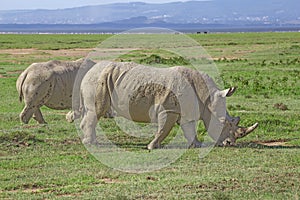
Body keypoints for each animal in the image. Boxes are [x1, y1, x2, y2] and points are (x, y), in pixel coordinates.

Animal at [77, 60, 258, 148]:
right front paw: (152, 147)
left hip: (102, 79)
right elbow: (164, 129)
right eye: (223, 122)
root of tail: (87, 73)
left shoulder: (185, 112)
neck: (208, 99)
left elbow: (189, 129)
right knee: (96, 111)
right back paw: (91, 144)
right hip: (97, 81)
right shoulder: (169, 109)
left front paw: (197, 145)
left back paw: (91, 142)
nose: (230, 144)